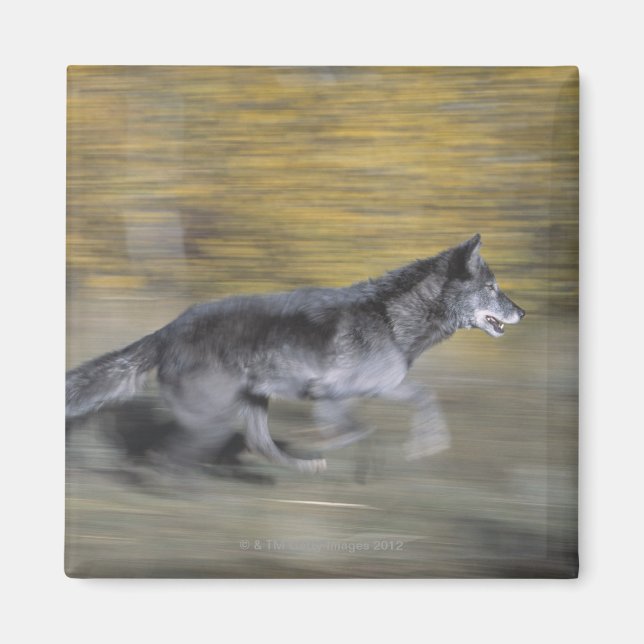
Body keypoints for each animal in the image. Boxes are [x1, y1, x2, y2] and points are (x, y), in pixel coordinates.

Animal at [66, 234, 525, 473]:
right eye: (492, 289)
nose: (522, 312)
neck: (391, 319)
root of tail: (167, 330)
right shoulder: (333, 395)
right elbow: (361, 430)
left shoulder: (374, 389)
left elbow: (423, 398)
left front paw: (425, 444)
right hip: (213, 416)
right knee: (170, 455)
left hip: (250, 404)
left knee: (259, 446)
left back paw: (301, 467)